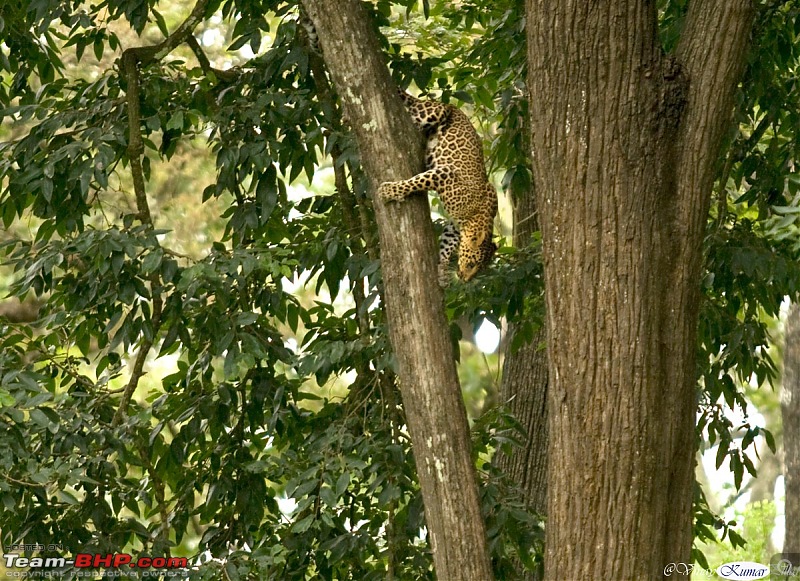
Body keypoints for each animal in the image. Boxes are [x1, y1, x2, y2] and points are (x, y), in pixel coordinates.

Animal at [378, 90, 496, 284]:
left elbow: (447, 244)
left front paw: (442, 270)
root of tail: (449, 105)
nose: (465, 279)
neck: (476, 217)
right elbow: (416, 182)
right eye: (472, 264)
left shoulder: (454, 226)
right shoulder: (444, 174)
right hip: (433, 112)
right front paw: (388, 191)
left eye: (479, 270)